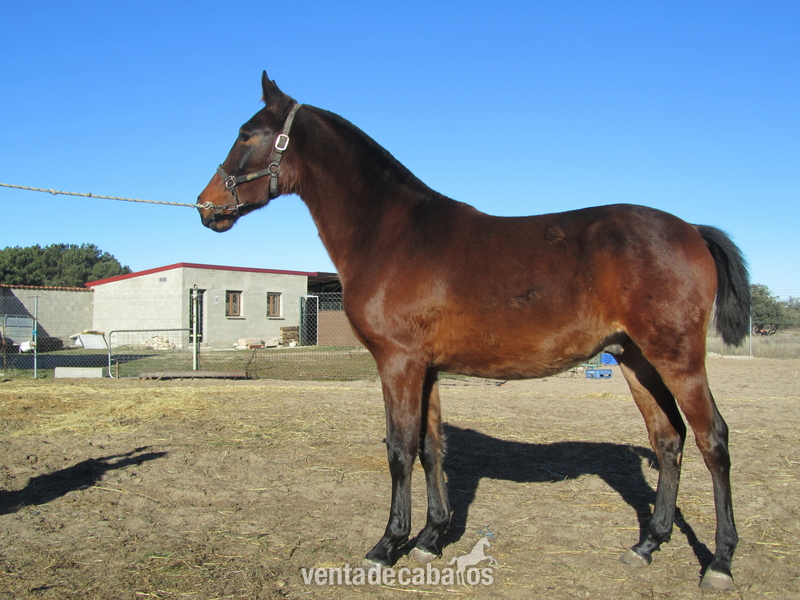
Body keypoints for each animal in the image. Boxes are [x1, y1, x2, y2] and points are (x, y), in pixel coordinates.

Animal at [197, 72, 750, 591]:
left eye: (247, 134)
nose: (206, 207)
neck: (392, 233)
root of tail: (692, 230)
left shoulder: (398, 362)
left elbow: (400, 449)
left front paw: (388, 545)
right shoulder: (427, 368)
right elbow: (431, 447)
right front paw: (430, 537)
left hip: (677, 359)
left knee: (713, 440)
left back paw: (720, 562)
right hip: (635, 359)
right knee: (668, 439)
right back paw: (648, 544)